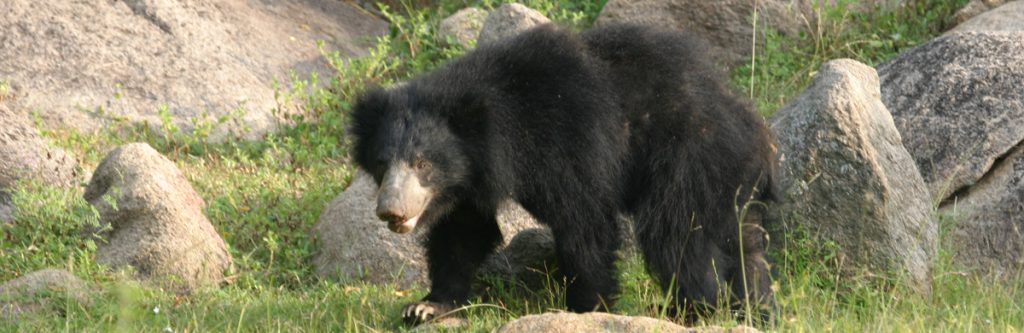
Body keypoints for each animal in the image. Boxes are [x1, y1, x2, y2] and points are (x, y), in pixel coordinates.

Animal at [352, 23, 774, 323]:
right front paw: (427, 306)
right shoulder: (468, 181)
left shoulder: (569, 144)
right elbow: (462, 233)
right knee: (742, 242)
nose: (390, 211)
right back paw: (751, 307)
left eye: (422, 163)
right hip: (728, 179)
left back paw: (692, 309)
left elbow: (584, 223)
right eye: (382, 163)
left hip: (687, 157)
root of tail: (752, 122)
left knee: (677, 236)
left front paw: (588, 308)